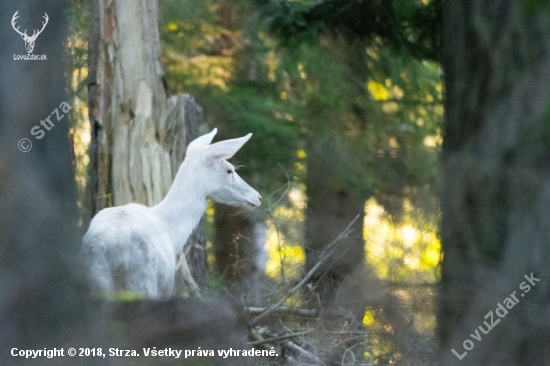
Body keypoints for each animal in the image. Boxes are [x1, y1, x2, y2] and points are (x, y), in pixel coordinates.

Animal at [81, 129, 262, 298]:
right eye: (229, 170)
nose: (257, 197)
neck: (171, 233)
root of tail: (116, 251)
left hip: (96, 282)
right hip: (144, 282)